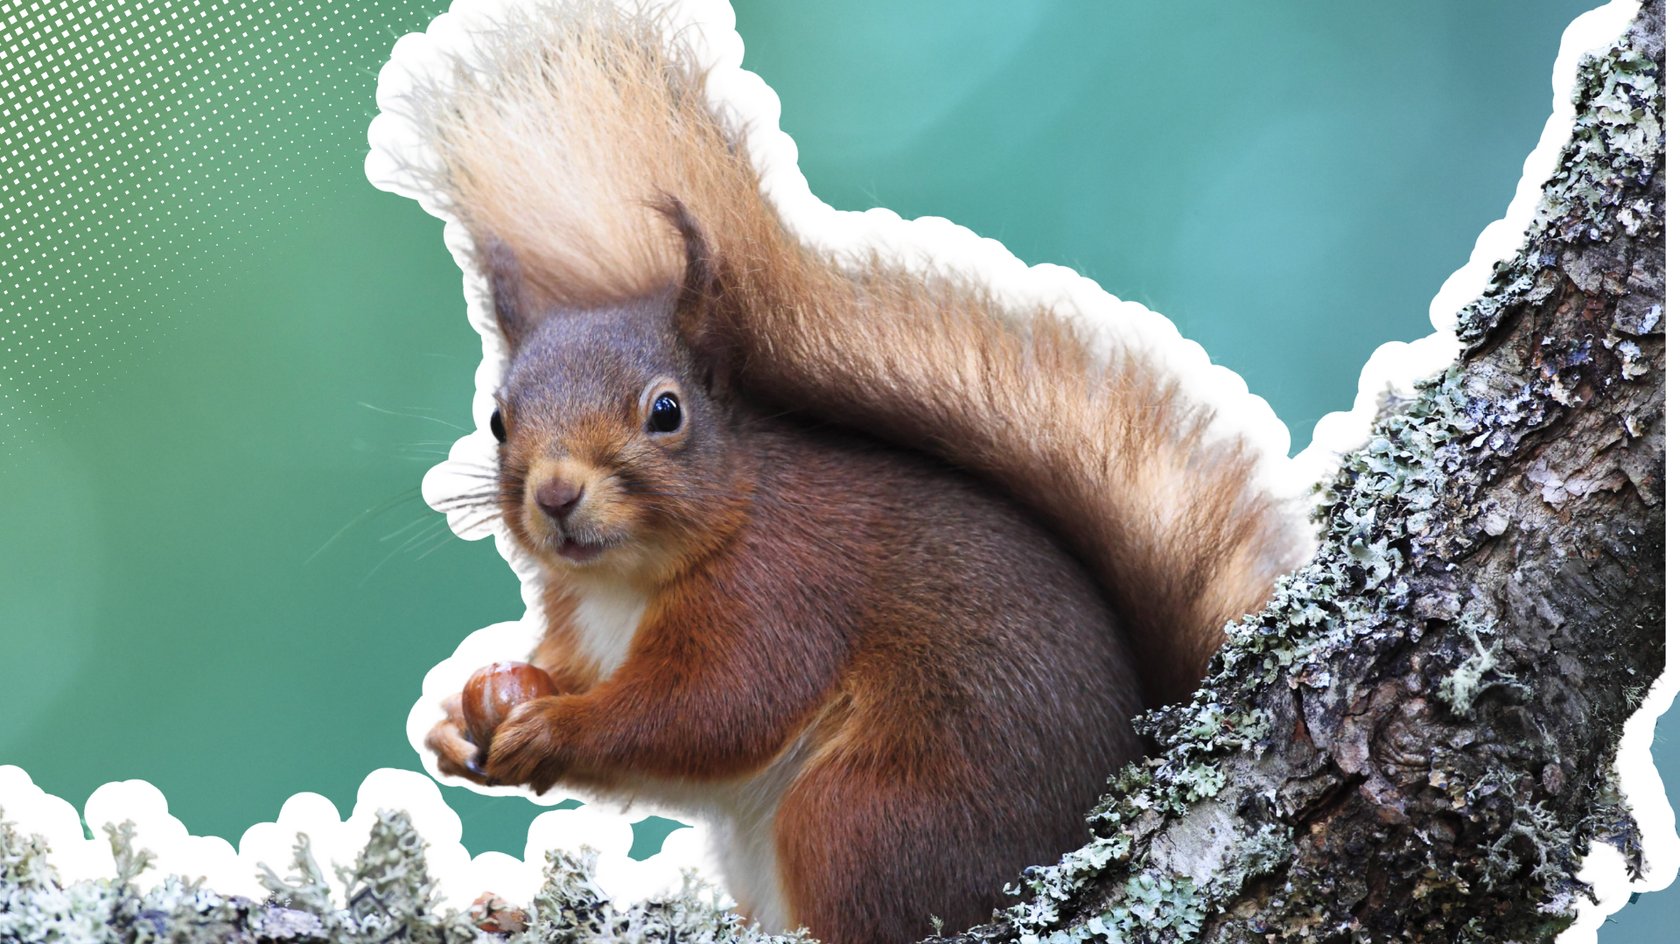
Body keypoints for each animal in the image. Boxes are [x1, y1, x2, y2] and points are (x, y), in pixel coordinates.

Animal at [405, 3, 1306, 942]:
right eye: (498, 420)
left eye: (666, 412)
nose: (555, 494)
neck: (629, 580)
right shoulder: (582, 622)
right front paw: (466, 714)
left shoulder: (781, 594)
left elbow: (711, 711)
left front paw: (553, 728)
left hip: (862, 815)